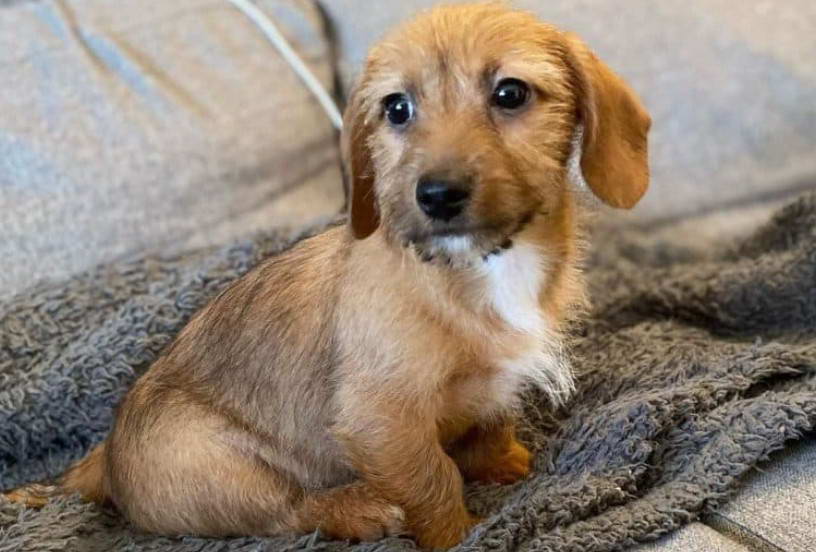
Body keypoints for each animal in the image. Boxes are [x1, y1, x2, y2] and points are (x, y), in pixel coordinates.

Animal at [4, 3, 652, 548]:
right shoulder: (382, 419)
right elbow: (433, 479)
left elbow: (493, 420)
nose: (436, 195)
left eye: (510, 93)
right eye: (397, 108)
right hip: (214, 465)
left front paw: (503, 462)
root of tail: (103, 454)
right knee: (286, 512)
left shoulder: (497, 380)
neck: (477, 268)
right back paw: (357, 509)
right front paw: (459, 532)